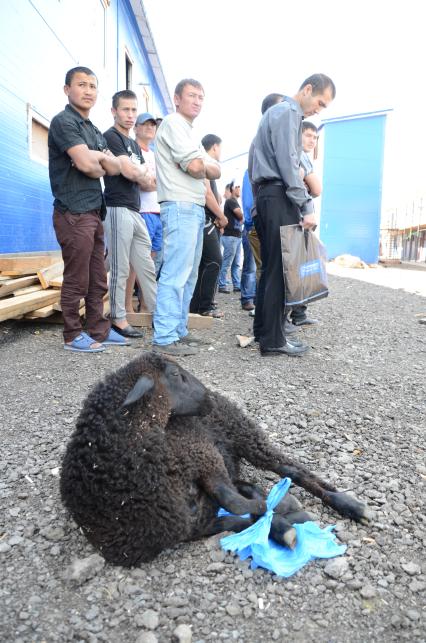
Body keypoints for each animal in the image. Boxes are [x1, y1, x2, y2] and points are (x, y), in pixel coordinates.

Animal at [60, 352, 370, 568]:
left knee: (292, 469)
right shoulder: (191, 526)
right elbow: (240, 518)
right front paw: (280, 525)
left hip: (245, 435)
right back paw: (287, 505)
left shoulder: (203, 455)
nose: (207, 396)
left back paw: (349, 505)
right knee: (248, 483)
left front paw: (273, 515)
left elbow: (233, 501)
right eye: (176, 374)